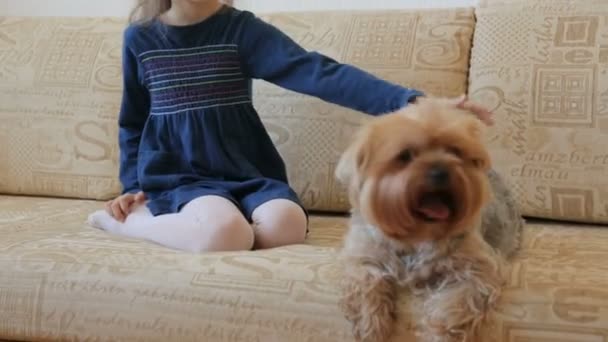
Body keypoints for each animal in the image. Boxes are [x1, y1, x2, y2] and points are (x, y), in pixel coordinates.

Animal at [338, 97, 524, 340]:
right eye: (405, 155)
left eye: (454, 150)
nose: (440, 171)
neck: (419, 234)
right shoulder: (363, 255)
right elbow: (366, 282)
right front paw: (371, 327)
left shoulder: (480, 270)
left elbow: (455, 305)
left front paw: (440, 335)